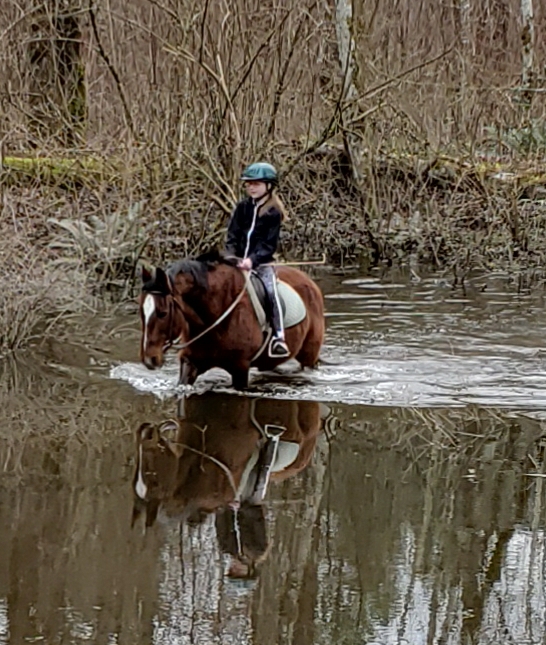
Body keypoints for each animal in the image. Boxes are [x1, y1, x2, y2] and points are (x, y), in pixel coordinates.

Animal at [138, 250, 324, 388]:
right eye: (142, 312)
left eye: (162, 313)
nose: (149, 360)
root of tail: (310, 282)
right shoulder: (190, 362)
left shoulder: (240, 368)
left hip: (309, 356)